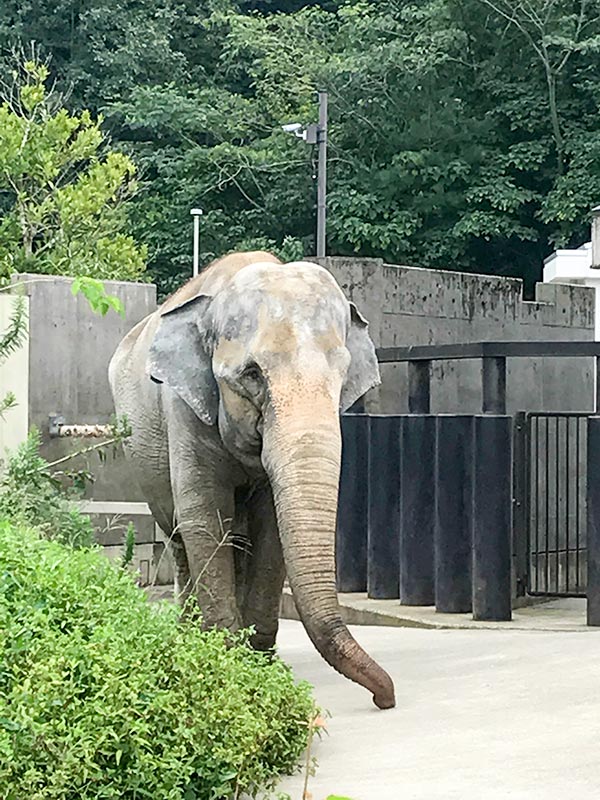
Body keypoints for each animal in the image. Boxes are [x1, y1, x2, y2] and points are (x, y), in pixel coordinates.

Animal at [109, 252, 396, 712]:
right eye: (252, 375)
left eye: (342, 376)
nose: (384, 699)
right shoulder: (182, 407)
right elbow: (205, 517)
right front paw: (226, 661)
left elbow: (271, 525)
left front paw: (259, 664)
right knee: (180, 537)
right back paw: (190, 636)